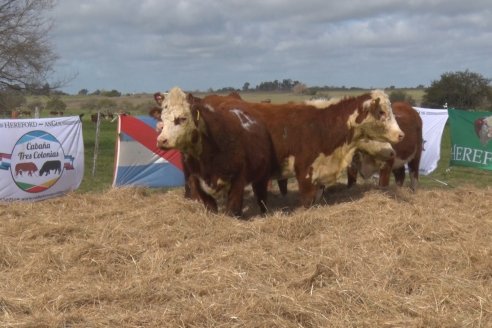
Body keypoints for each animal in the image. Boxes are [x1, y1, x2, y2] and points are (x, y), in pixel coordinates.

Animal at [157, 86, 274, 218]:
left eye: (182, 118)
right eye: (162, 119)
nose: (161, 140)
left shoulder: (238, 179)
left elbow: (232, 208)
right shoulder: (197, 180)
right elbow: (210, 206)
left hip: (262, 177)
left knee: (261, 198)